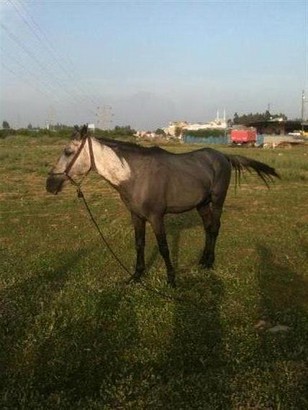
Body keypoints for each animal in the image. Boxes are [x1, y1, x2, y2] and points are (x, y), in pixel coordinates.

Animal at [45, 123, 280, 286]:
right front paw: (136, 276)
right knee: (207, 228)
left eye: (68, 152)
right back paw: (202, 261)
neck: (135, 175)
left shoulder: (157, 217)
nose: (50, 185)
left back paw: (210, 262)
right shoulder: (136, 216)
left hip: (217, 200)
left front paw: (171, 279)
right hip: (202, 204)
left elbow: (164, 247)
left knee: (214, 228)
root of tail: (223, 155)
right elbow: (139, 244)